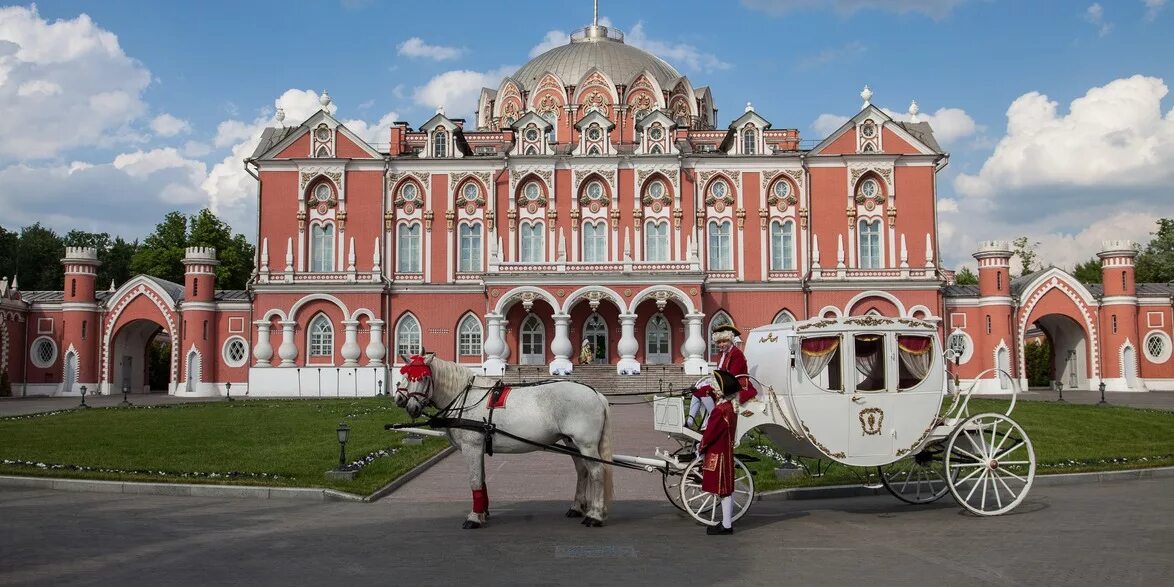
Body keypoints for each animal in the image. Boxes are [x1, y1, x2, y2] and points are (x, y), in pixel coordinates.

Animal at [394, 354, 615, 530]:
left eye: (423, 378)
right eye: (404, 376)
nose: (406, 404)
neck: (466, 398)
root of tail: (595, 393)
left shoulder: (472, 448)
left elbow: (474, 481)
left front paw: (474, 518)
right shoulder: (479, 449)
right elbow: (481, 480)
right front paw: (482, 512)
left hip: (586, 444)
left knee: (597, 472)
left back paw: (594, 515)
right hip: (572, 443)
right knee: (582, 471)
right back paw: (577, 507)